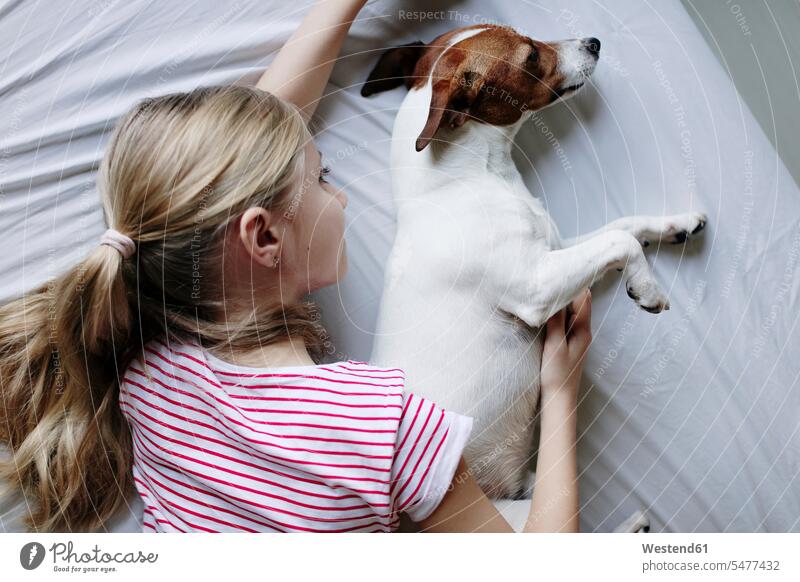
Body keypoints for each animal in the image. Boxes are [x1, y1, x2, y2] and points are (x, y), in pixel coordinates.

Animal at [362, 24, 708, 532]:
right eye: (529, 56)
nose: (594, 42)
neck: (470, 178)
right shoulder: (537, 285)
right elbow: (620, 243)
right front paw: (647, 287)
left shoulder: (557, 251)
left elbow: (625, 227)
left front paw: (675, 224)